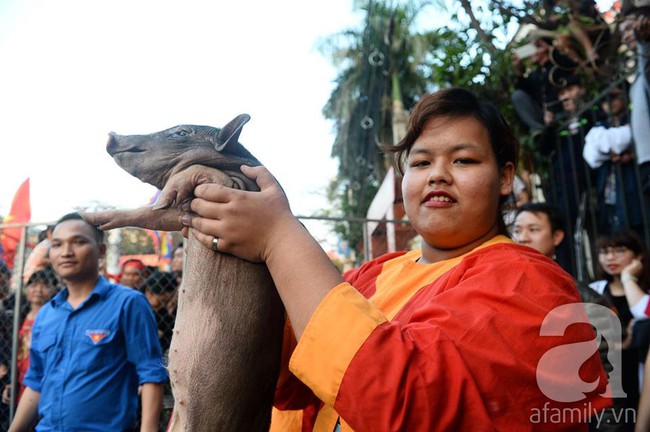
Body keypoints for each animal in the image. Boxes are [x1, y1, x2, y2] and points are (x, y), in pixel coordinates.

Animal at [81, 115, 284, 432]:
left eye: (181, 132)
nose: (112, 134)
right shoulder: (182, 214)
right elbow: (157, 215)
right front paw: (90, 217)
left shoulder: (235, 186)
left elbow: (191, 175)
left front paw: (163, 196)